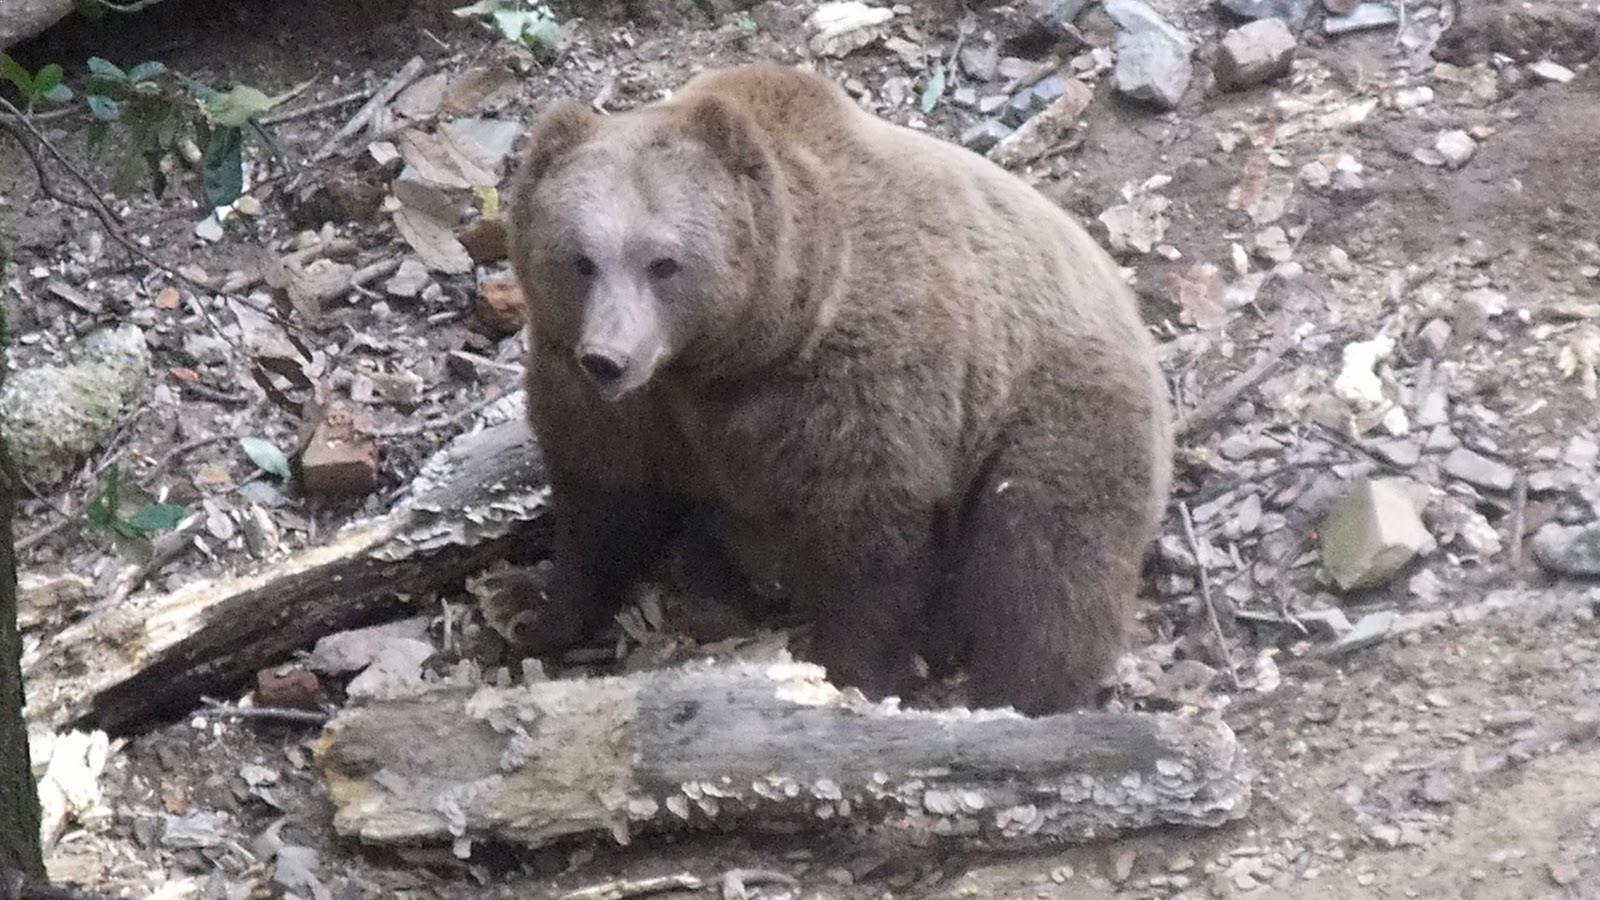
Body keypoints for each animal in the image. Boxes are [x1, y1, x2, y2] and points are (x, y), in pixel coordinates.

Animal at [512, 63, 1177, 714]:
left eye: (663, 262)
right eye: (580, 259)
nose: (609, 359)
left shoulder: (855, 384)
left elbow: (870, 538)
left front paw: (851, 672)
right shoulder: (615, 404)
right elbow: (603, 500)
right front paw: (536, 616)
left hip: (1052, 404)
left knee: (1046, 558)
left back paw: (1023, 693)